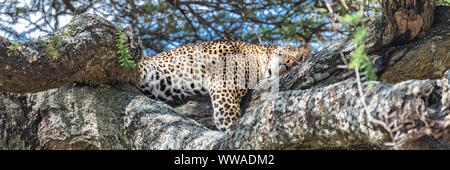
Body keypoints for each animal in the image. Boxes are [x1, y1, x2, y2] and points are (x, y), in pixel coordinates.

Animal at [138, 39, 312, 135]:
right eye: (298, 57)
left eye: (299, 62)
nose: (289, 65)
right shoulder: (224, 80)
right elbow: (228, 113)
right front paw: (234, 132)